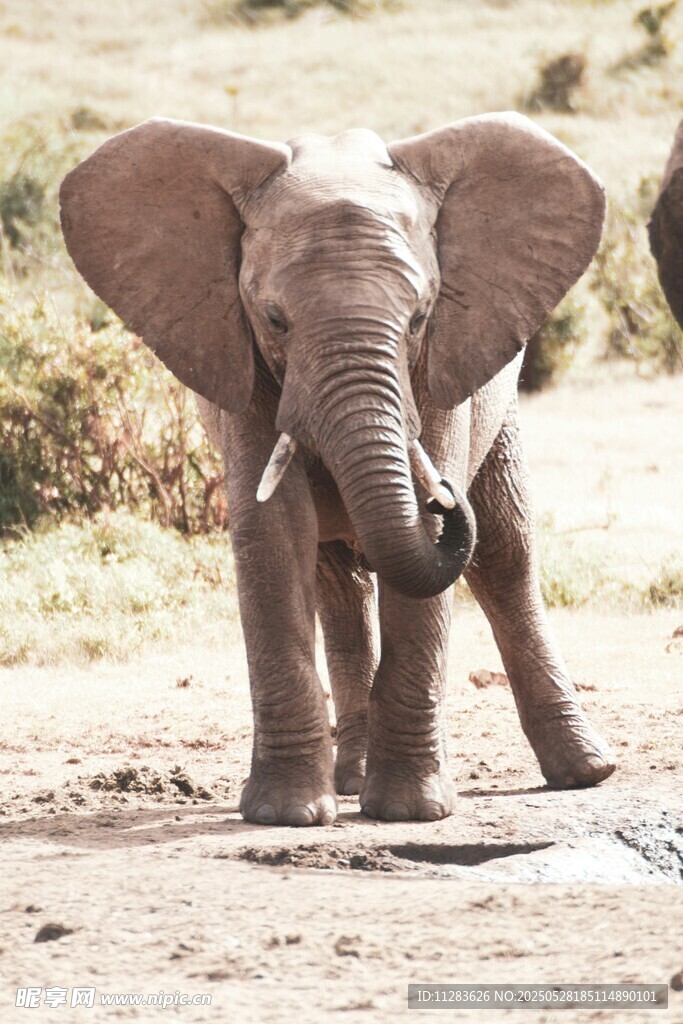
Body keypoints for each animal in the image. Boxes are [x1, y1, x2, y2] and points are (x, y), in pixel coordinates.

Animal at [60, 111, 616, 826]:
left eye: (419, 318)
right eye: (274, 319)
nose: (444, 499)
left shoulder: (443, 365)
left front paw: (410, 812)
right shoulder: (240, 363)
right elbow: (273, 531)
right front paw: (286, 815)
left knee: (503, 557)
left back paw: (584, 772)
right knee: (339, 586)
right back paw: (350, 779)